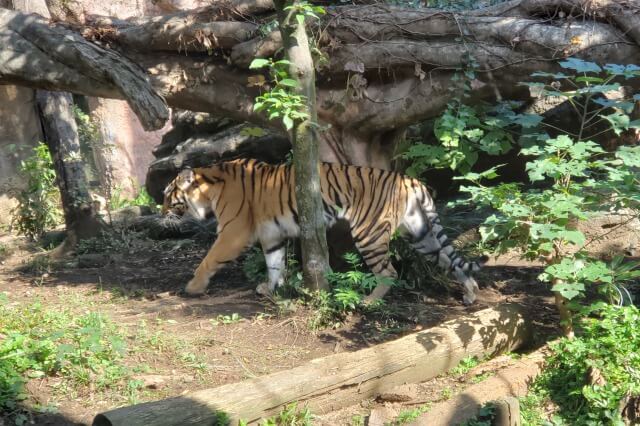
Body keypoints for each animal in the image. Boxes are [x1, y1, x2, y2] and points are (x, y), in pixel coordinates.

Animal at [161, 159, 484, 302]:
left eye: (167, 195)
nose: (161, 212)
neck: (210, 189)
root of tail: (410, 180)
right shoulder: (272, 234)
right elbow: (274, 263)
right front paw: (271, 288)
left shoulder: (233, 233)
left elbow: (208, 260)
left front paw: (193, 287)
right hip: (420, 233)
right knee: (451, 260)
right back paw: (471, 292)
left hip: (369, 233)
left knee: (389, 272)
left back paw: (368, 301)